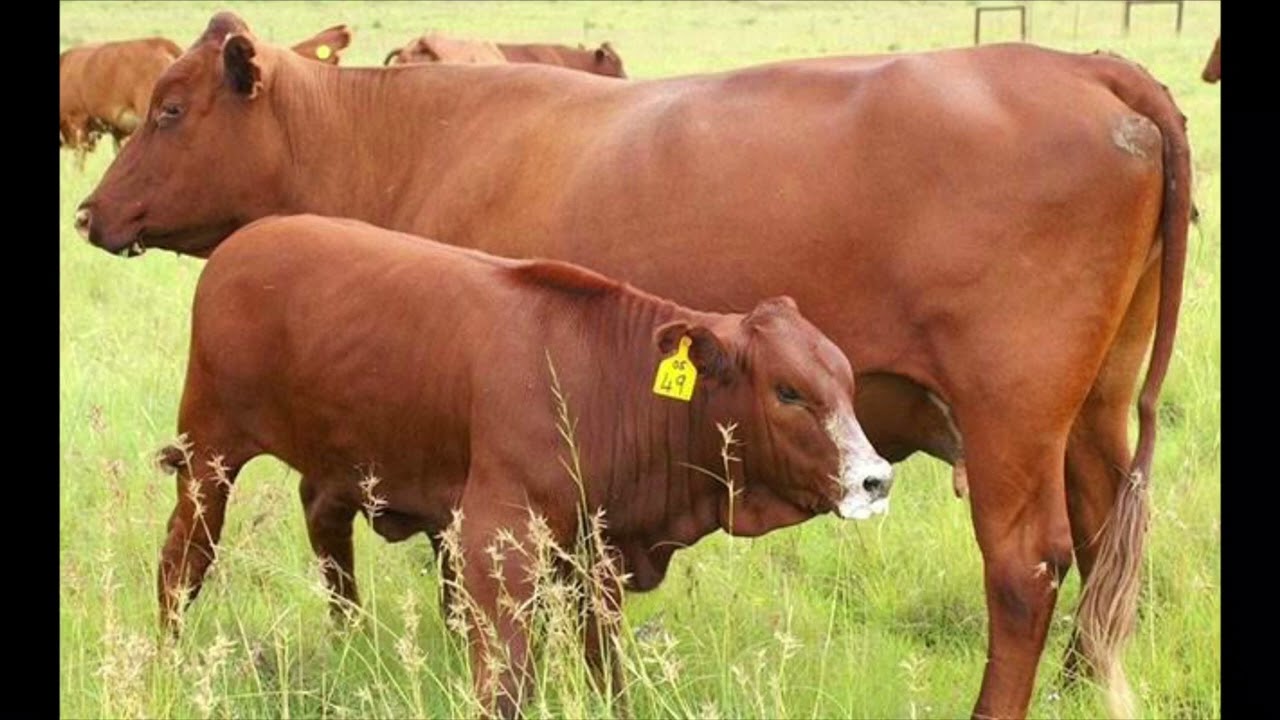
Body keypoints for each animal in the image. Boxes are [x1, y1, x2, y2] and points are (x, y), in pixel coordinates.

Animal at [156, 213, 893, 717]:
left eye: (847, 382)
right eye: (788, 391)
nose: (876, 479)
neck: (605, 379)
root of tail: (250, 238)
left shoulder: (597, 553)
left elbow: (604, 664)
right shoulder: (497, 543)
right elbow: (509, 675)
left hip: (336, 463)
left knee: (325, 532)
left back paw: (351, 639)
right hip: (209, 454)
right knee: (183, 559)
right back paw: (170, 653)